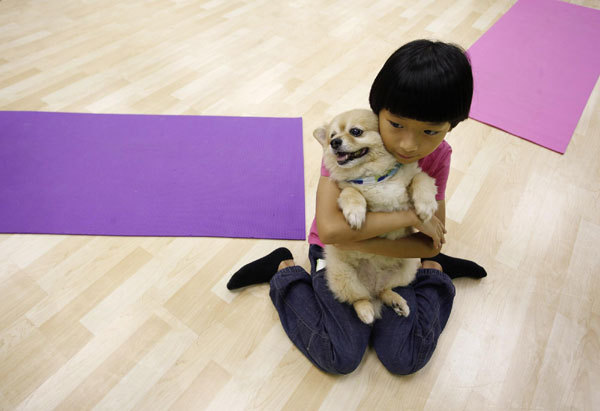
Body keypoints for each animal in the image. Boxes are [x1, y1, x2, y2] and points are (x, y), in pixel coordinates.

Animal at [314, 109, 436, 326]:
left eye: (355, 131)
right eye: (332, 136)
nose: (334, 143)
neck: (374, 179)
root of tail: (372, 284)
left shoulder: (412, 180)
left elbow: (421, 178)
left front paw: (426, 205)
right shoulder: (345, 189)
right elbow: (351, 192)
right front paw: (355, 213)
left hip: (407, 267)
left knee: (384, 290)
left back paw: (396, 301)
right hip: (344, 275)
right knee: (359, 298)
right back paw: (366, 312)